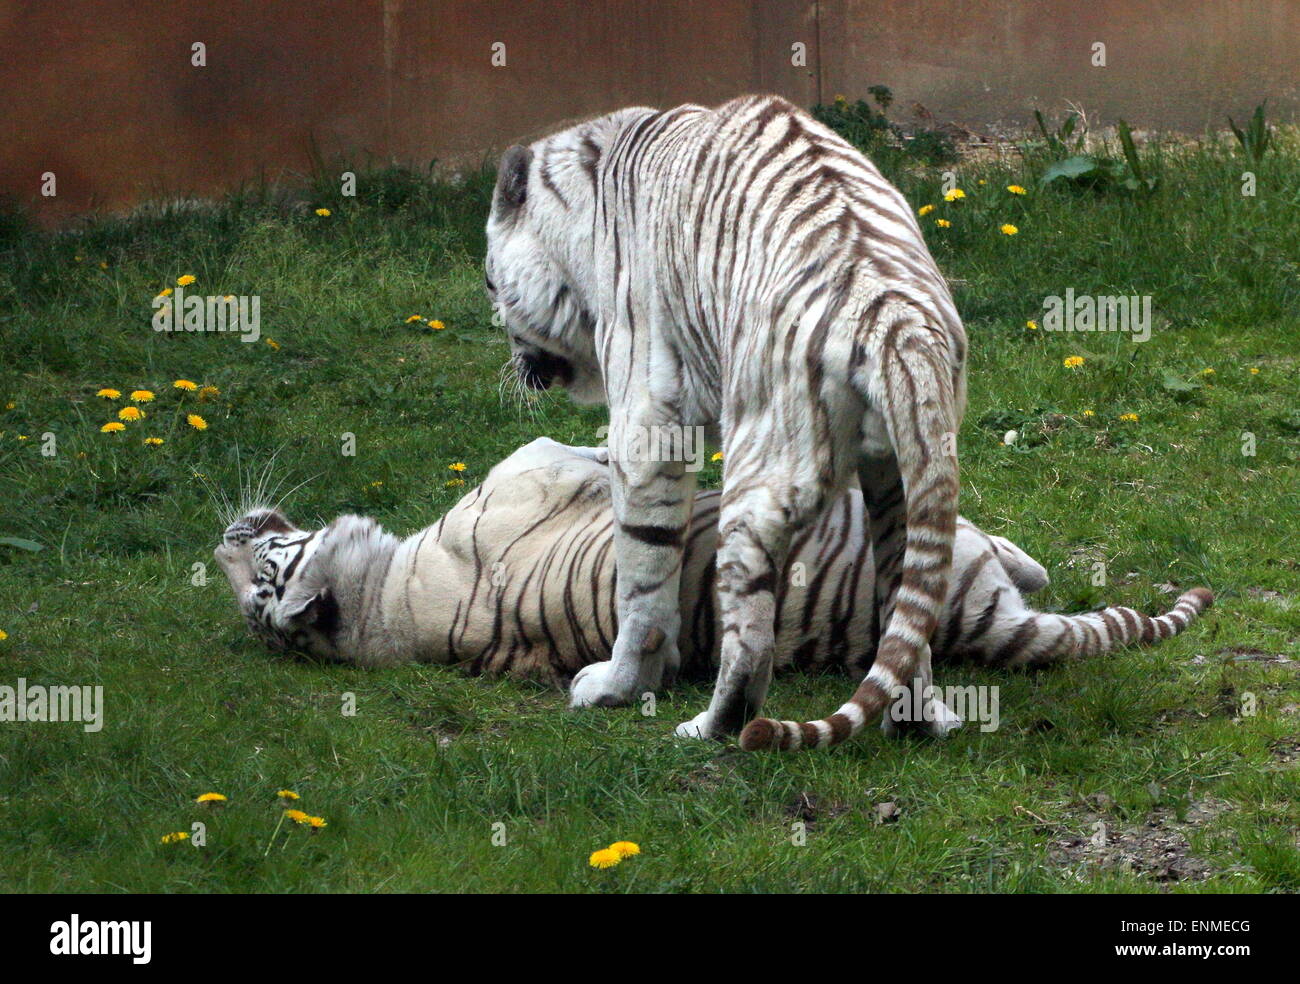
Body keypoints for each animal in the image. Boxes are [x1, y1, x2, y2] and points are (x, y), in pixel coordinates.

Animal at [486, 96, 967, 748]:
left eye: (490, 281)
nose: (515, 361)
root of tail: (895, 318)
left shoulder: (645, 424)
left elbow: (641, 579)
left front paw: (619, 685)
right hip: (903, 477)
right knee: (907, 605)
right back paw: (920, 719)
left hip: (758, 487)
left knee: (749, 642)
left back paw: (711, 725)